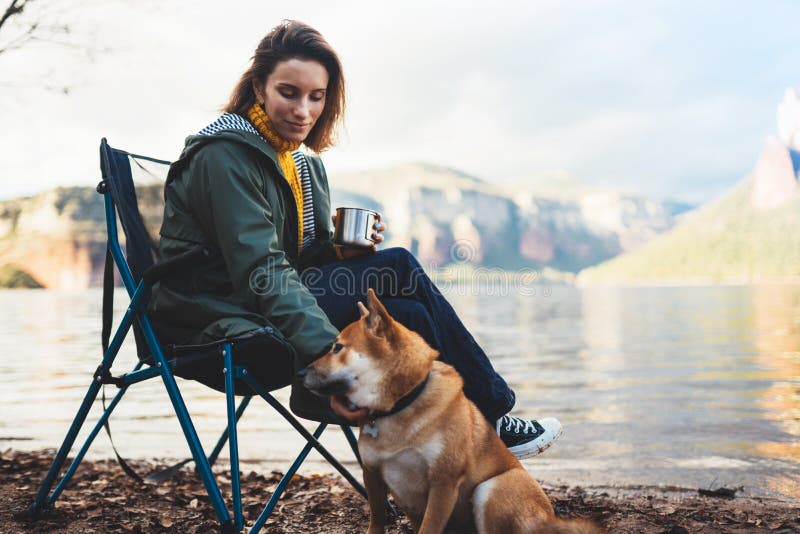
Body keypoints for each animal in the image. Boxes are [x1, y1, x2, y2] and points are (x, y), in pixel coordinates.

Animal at [302, 292, 600, 532]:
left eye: (337, 347)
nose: (301, 371)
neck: (401, 405)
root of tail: (551, 521)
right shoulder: (373, 476)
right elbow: (376, 522)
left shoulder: (443, 483)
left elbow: (429, 528)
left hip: (490, 489)